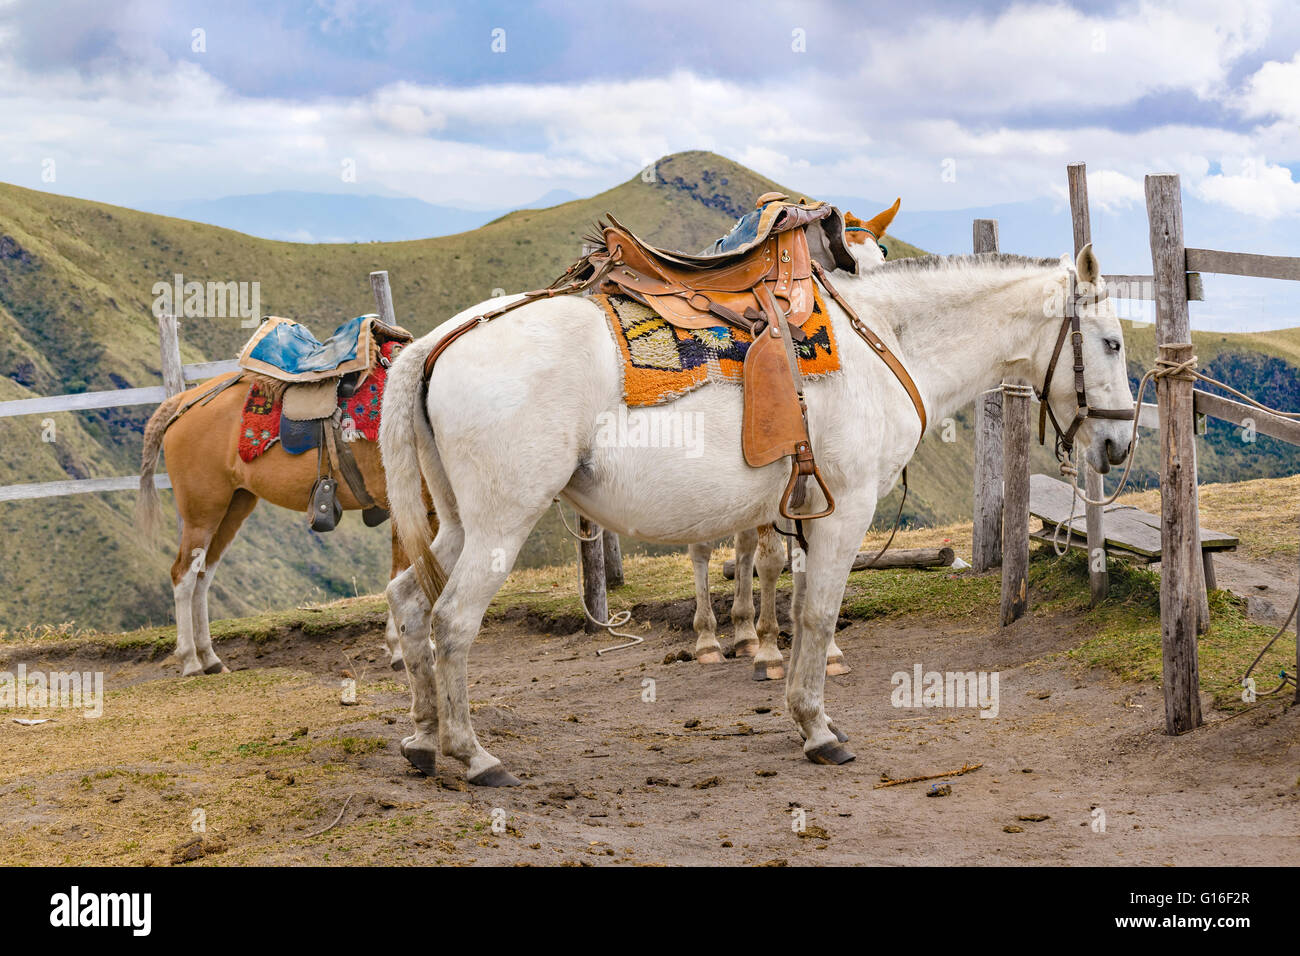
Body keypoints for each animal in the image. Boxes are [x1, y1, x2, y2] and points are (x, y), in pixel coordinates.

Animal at [137, 369, 431, 676]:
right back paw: (191, 661)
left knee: (202, 575)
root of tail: (184, 400)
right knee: (183, 575)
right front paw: (400, 649)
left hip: (233, 507)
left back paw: (209, 658)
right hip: (202, 514)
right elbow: (405, 573)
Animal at [379, 243, 1133, 780]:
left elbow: (795, 601)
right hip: (501, 523)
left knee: (409, 602)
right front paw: (818, 730)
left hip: (460, 524)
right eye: (1113, 343)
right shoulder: (845, 509)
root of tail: (435, 343)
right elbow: (818, 613)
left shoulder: (801, 512)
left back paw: (422, 740)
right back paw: (474, 756)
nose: (1119, 443)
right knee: (452, 621)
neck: (885, 342)